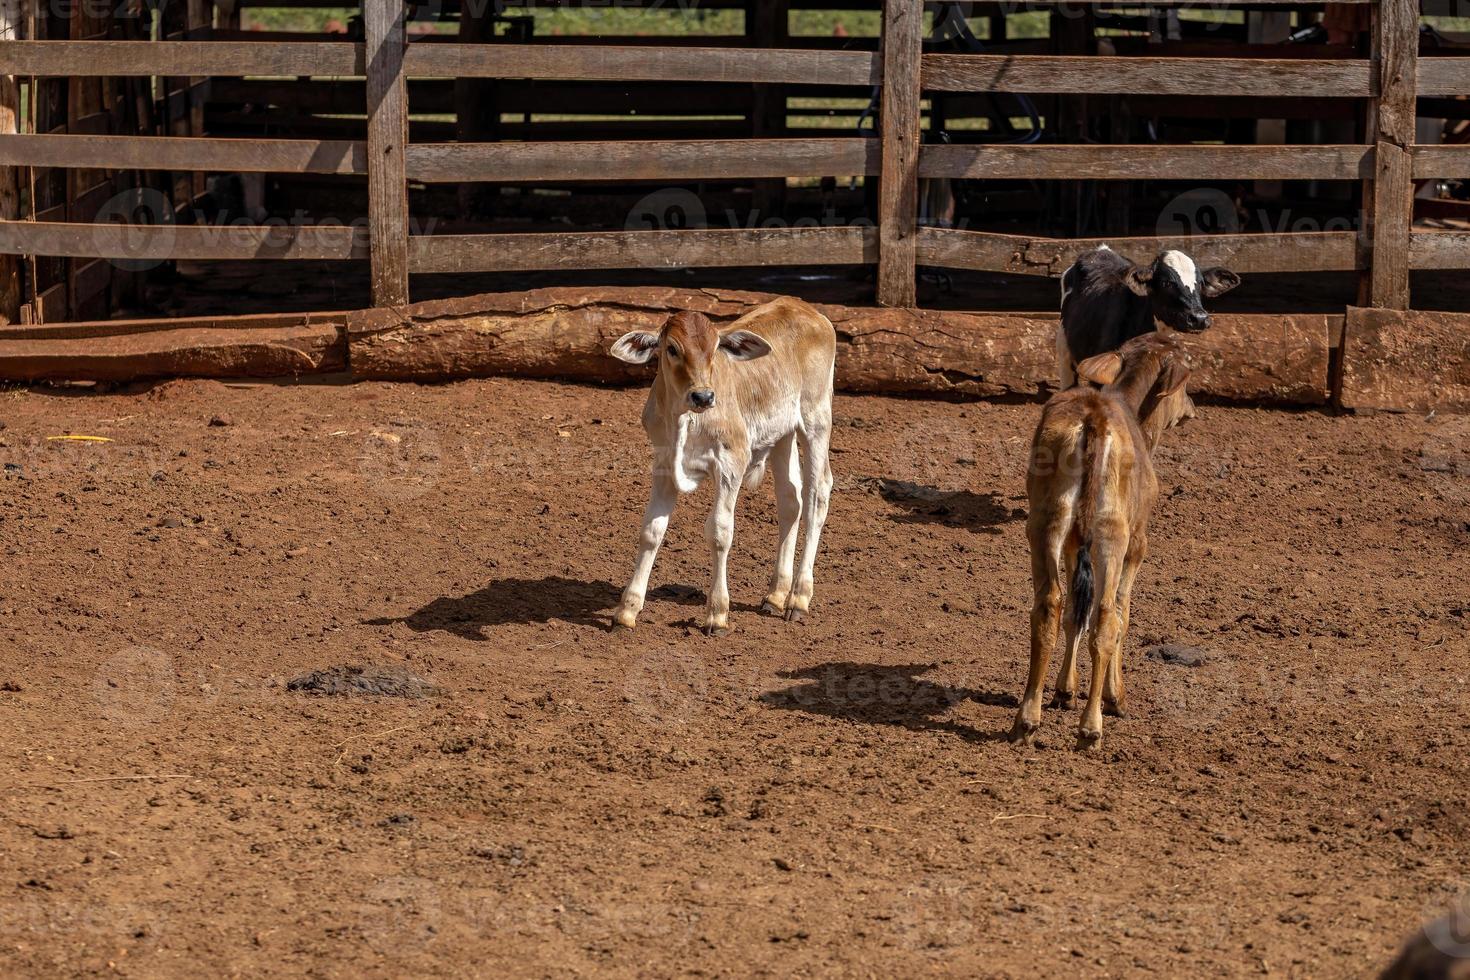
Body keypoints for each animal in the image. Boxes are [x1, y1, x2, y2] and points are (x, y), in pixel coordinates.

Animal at [1011, 332, 1193, 752]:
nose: (1190, 409)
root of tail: (1093, 418)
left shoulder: (1074, 542)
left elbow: (1075, 612)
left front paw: (1064, 690)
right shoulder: (1138, 542)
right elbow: (1121, 612)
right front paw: (1114, 696)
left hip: (1046, 521)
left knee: (1050, 604)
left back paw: (1027, 720)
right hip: (1113, 532)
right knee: (1108, 614)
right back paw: (1090, 727)